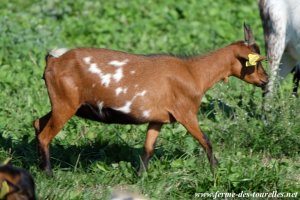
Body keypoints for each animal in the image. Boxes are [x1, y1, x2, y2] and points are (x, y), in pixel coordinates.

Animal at [34, 24, 268, 175]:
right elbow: (205, 140)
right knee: (45, 135)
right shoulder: (186, 113)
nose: (265, 80)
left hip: (65, 104)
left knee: (38, 123)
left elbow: (148, 148)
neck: (194, 73)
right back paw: (49, 174)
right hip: (65, 104)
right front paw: (216, 170)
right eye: (255, 62)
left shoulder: (158, 119)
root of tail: (53, 60)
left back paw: (39, 166)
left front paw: (141, 177)